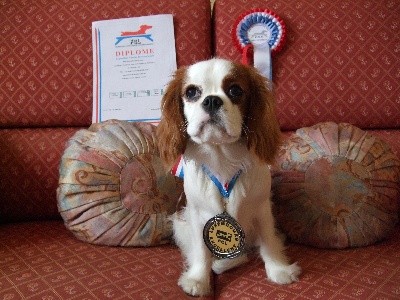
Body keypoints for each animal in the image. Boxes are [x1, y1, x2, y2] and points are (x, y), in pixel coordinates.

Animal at [156, 57, 300, 296]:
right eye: (191, 92)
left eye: (235, 90)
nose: (212, 100)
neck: (222, 157)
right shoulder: (196, 215)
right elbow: (201, 250)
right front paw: (198, 279)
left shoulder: (262, 208)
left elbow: (268, 240)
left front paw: (278, 269)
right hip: (180, 224)